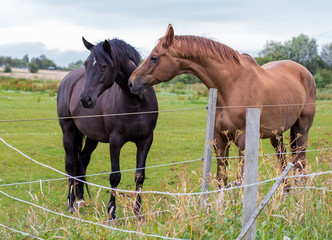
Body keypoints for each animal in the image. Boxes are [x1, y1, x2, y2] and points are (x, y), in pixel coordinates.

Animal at [56, 37, 158, 219]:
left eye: (104, 66)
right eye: (86, 64)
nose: (85, 99)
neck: (136, 102)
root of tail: (68, 79)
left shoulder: (146, 140)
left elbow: (139, 176)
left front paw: (138, 213)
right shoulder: (115, 140)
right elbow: (115, 177)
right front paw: (111, 213)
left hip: (91, 137)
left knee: (82, 160)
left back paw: (81, 200)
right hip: (68, 131)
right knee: (70, 163)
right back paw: (71, 204)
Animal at [127, 23, 316, 186]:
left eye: (154, 57)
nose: (131, 82)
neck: (231, 86)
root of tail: (305, 72)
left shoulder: (243, 142)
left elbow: (240, 181)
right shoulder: (219, 141)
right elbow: (221, 180)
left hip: (302, 130)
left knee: (300, 164)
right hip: (276, 135)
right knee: (284, 163)